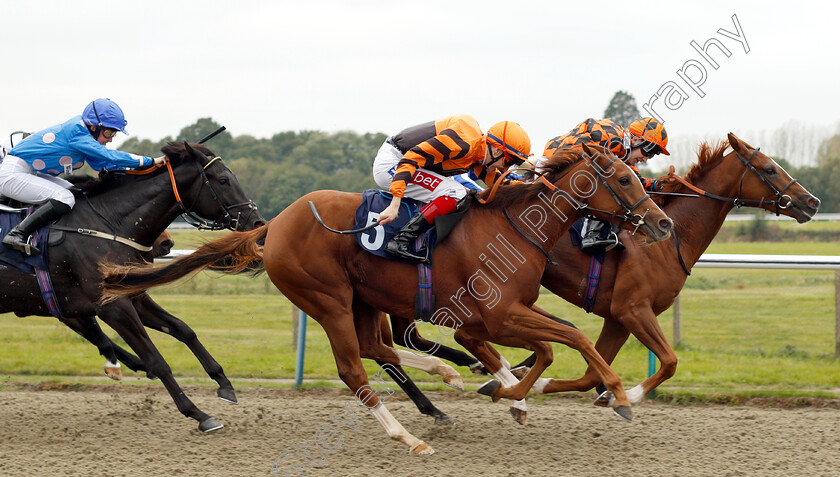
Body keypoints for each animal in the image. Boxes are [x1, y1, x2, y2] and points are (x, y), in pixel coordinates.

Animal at [0, 141, 262, 432]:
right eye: (223, 180)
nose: (258, 223)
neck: (105, 225)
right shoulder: (111, 306)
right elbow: (156, 360)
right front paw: (199, 414)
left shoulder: (132, 295)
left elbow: (183, 330)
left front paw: (224, 383)